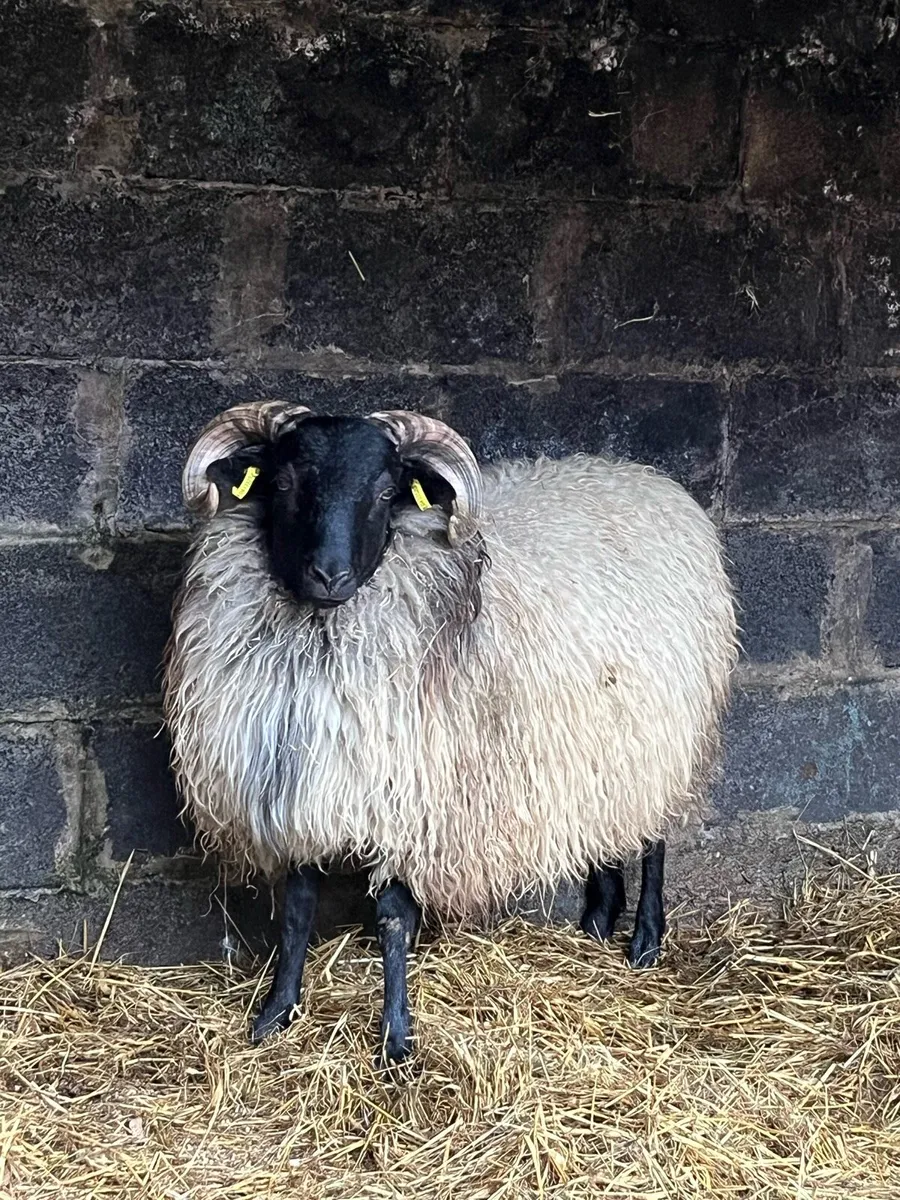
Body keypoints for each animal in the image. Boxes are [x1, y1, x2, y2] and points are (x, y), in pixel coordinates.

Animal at [163, 400, 738, 1065]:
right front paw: (276, 1014)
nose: (329, 576)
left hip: (666, 733)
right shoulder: (305, 790)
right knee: (608, 828)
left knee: (653, 837)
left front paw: (395, 1040)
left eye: (387, 492)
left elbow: (392, 918)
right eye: (282, 484)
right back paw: (597, 923)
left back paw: (644, 938)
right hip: (600, 743)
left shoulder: (415, 803)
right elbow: (297, 910)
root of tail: (644, 476)